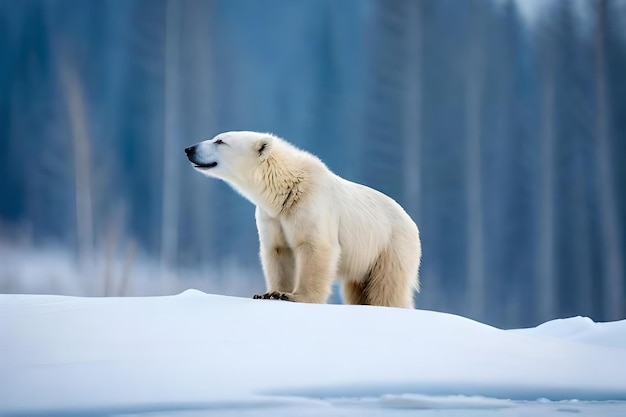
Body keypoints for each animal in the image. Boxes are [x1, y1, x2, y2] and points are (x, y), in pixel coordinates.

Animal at [184, 132, 420, 308]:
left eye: (220, 141)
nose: (189, 149)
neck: (286, 189)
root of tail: (412, 222)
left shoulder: (311, 204)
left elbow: (315, 246)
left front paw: (296, 297)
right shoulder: (272, 216)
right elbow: (278, 251)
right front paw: (270, 293)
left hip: (389, 245)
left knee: (386, 285)